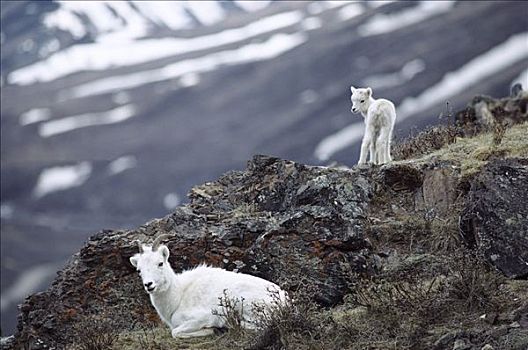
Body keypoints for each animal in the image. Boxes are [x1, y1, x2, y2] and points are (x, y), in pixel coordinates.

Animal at [129, 235, 284, 340]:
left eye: (160, 263)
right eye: (139, 270)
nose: (149, 285)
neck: (178, 297)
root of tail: (284, 300)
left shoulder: (202, 318)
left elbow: (175, 332)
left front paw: (212, 330)